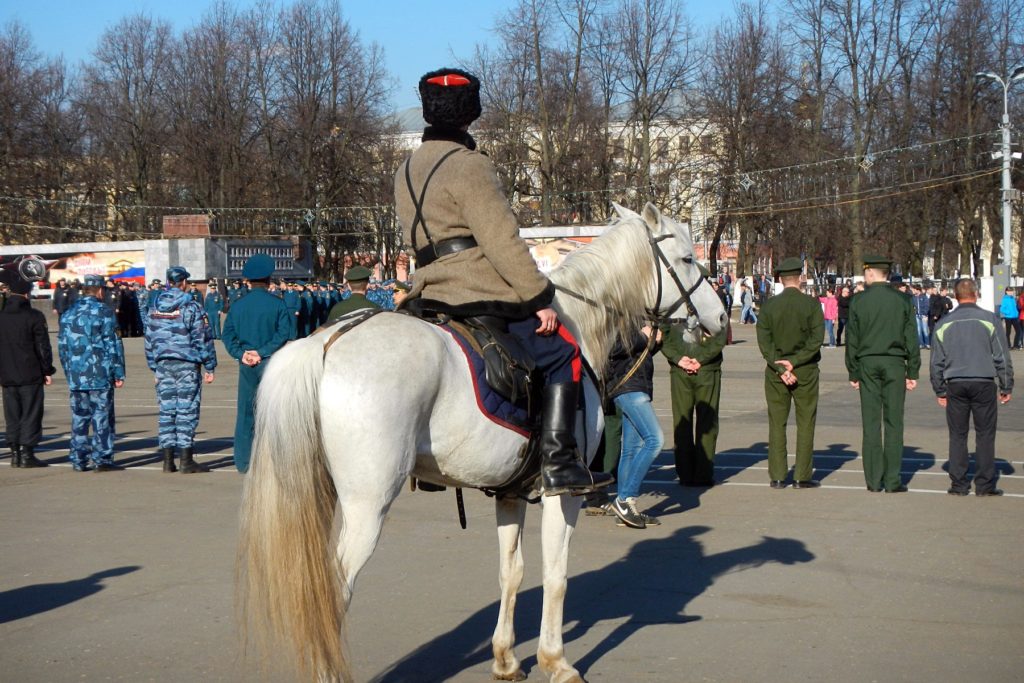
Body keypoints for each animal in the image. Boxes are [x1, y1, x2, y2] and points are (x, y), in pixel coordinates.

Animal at [239, 202, 729, 683]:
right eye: (687, 258)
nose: (721, 318)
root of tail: (325, 341)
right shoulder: (565, 493)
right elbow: (556, 575)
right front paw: (556, 661)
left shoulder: (510, 492)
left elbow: (511, 572)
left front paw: (506, 659)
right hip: (367, 504)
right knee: (334, 591)